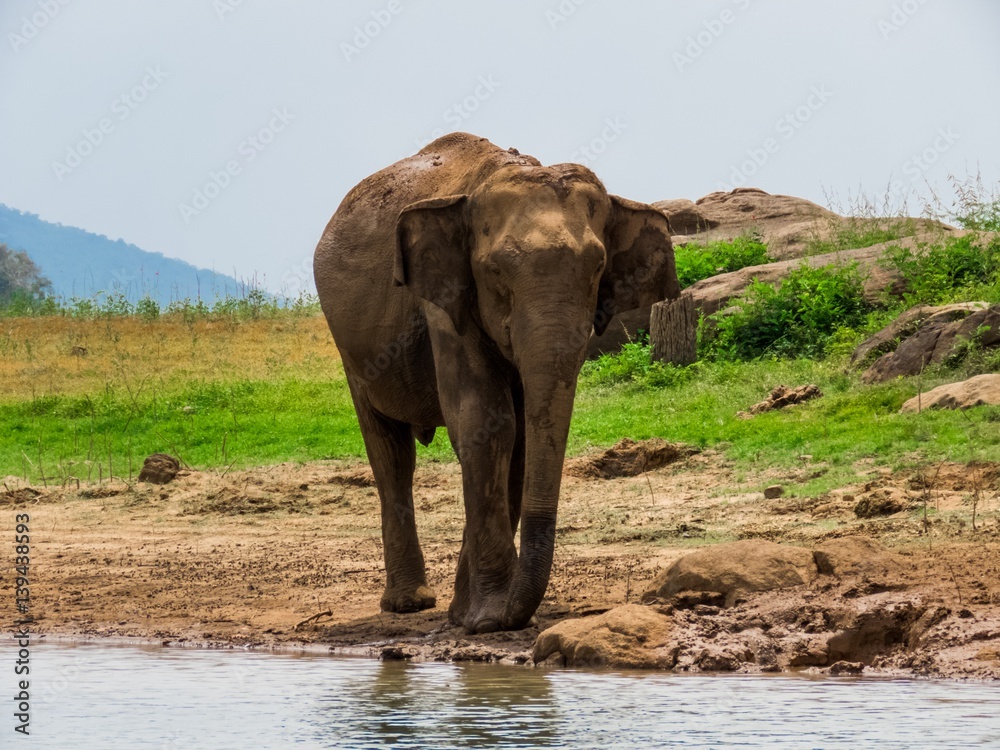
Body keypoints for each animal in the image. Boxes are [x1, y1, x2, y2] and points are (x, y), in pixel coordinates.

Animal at [314, 132, 678, 634]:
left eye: (598, 267)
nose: (511, 618)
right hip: (350, 351)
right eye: (496, 271)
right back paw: (408, 604)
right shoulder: (444, 301)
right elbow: (486, 421)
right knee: (391, 454)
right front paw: (487, 619)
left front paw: (472, 615)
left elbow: (518, 435)